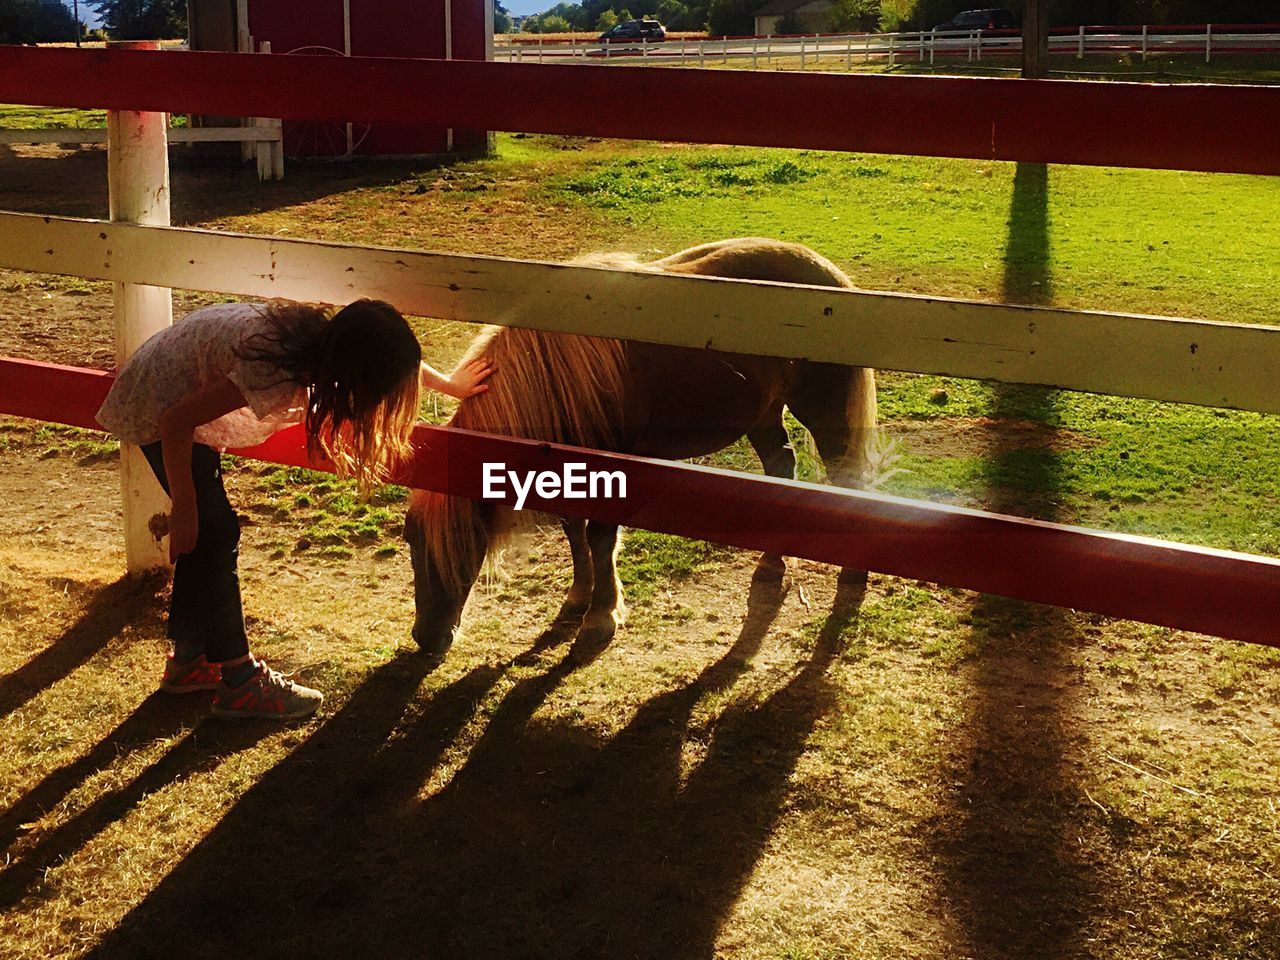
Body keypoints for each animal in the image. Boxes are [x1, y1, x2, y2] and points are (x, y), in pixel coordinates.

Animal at [404, 239, 875, 660]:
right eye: (410, 540)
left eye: (457, 543)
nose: (427, 638)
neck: (558, 373)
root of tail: (830, 278)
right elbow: (574, 530)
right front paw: (579, 597)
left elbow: (599, 535)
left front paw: (601, 617)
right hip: (763, 412)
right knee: (782, 466)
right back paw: (772, 563)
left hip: (824, 411)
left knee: (847, 477)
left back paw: (853, 570)